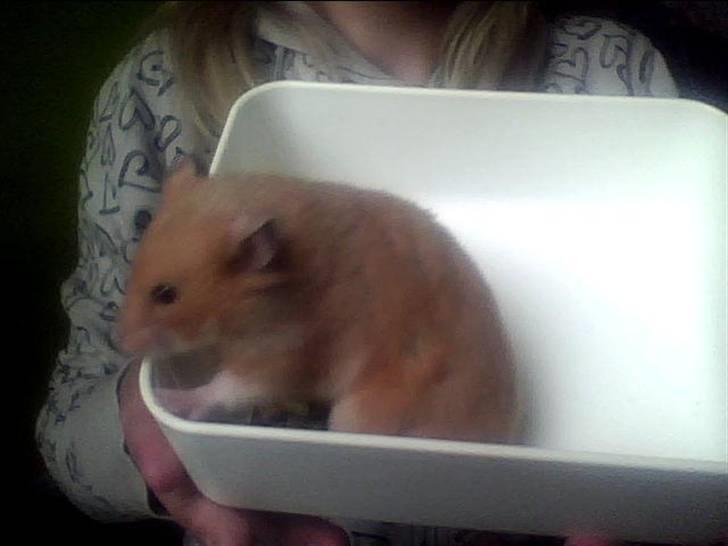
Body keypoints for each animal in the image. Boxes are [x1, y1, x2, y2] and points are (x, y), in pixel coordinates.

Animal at [119, 160, 519, 443]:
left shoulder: (281, 353)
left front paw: (170, 399)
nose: (122, 343)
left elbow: (225, 388)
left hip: (356, 414)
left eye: (166, 294)